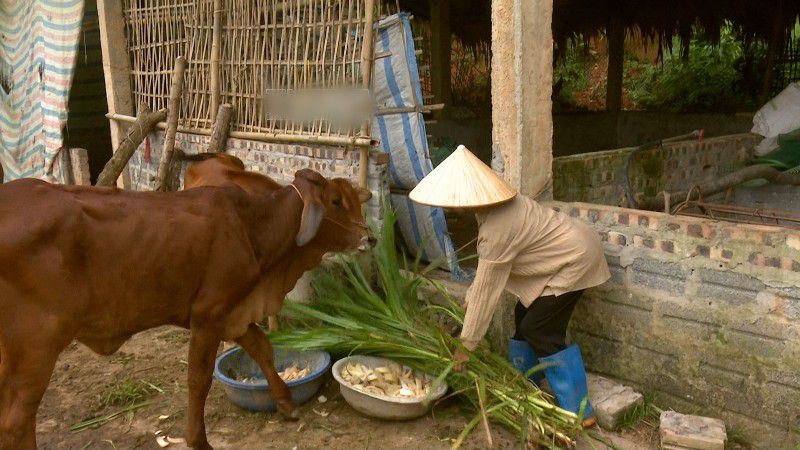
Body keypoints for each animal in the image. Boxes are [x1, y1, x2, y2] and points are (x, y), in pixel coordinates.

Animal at [0, 169, 372, 450]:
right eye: (336, 201)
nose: (369, 238)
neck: (252, 227)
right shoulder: (209, 315)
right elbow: (198, 380)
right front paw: (199, 441)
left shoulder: (234, 313)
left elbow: (263, 349)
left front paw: (286, 405)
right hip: (37, 346)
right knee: (16, 421)